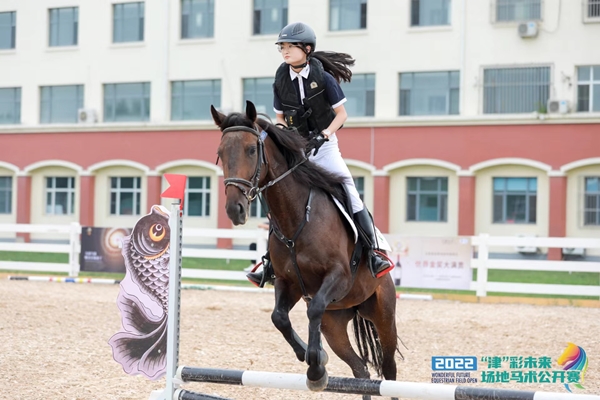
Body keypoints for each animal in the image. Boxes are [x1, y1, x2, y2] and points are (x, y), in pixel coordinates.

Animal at [212, 101, 400, 400]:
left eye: (251, 150)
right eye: (220, 154)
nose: (235, 209)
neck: (296, 217)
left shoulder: (338, 277)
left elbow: (312, 310)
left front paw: (315, 368)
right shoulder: (288, 282)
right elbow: (279, 317)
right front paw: (313, 360)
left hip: (383, 315)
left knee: (389, 368)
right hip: (335, 323)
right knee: (360, 370)